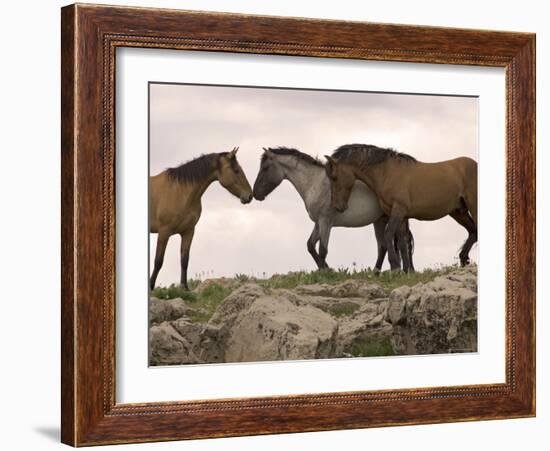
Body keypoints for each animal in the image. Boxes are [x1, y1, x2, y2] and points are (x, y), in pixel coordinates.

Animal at [151, 147, 254, 292]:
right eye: (236, 170)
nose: (250, 196)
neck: (180, 191)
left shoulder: (188, 231)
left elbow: (184, 260)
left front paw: (185, 288)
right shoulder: (164, 232)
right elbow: (158, 261)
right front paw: (151, 286)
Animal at [253, 147, 414, 272]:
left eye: (265, 168)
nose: (255, 193)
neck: (315, 184)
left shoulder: (326, 222)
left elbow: (323, 249)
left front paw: (325, 272)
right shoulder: (318, 222)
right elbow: (310, 245)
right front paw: (325, 268)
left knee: (399, 242)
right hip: (380, 221)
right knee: (387, 245)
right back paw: (381, 271)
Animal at [326, 144, 476, 272]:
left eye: (334, 177)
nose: (337, 206)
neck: (387, 172)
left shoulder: (398, 210)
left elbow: (388, 235)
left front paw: (395, 266)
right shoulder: (401, 216)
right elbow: (402, 242)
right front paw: (407, 270)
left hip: (473, 206)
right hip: (458, 212)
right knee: (473, 231)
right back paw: (464, 259)